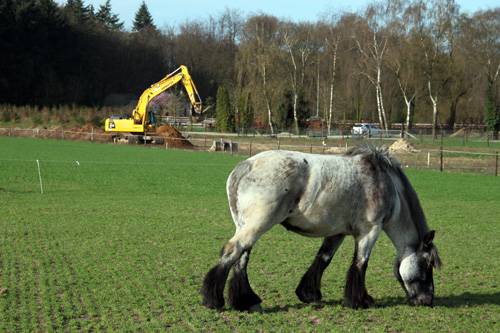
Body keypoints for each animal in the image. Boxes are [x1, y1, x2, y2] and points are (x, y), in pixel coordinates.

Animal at [200, 145, 442, 312]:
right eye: (428, 264)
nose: (428, 300)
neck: (383, 181)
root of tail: (247, 165)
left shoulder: (337, 233)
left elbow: (323, 259)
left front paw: (308, 293)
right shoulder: (369, 232)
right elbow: (360, 263)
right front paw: (360, 300)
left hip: (246, 226)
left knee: (240, 258)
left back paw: (246, 301)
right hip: (256, 226)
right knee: (233, 252)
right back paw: (214, 299)